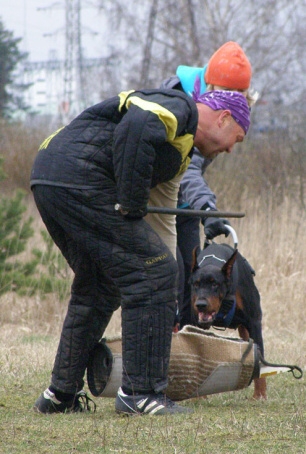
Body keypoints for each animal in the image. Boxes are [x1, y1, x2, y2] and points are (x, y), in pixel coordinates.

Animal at [190, 243, 266, 400]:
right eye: (196, 284)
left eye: (215, 284)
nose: (201, 304)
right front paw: (199, 396)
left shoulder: (254, 322)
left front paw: (260, 395)